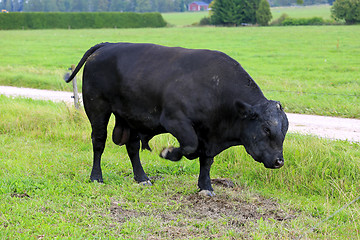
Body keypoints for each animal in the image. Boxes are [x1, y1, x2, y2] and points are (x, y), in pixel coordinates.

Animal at [65, 42, 290, 196]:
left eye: (284, 130)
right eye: (266, 129)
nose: (279, 161)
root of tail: (108, 45)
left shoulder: (210, 135)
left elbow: (206, 160)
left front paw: (205, 187)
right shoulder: (175, 120)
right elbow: (190, 146)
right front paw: (169, 153)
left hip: (131, 117)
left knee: (132, 147)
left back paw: (142, 178)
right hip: (97, 108)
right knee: (99, 142)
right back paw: (96, 177)